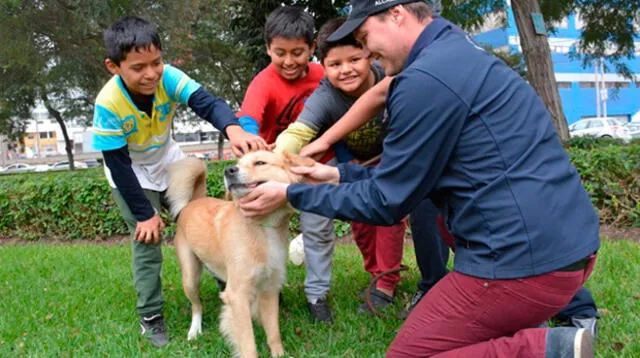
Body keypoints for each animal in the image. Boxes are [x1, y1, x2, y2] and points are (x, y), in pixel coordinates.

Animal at [165, 150, 316, 358]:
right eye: (237, 163)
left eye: (260, 163)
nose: (228, 170)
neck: (262, 226)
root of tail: (195, 201)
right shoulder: (237, 295)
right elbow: (248, 344)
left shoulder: (270, 289)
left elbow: (274, 333)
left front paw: (278, 354)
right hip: (190, 277)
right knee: (197, 305)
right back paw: (194, 330)